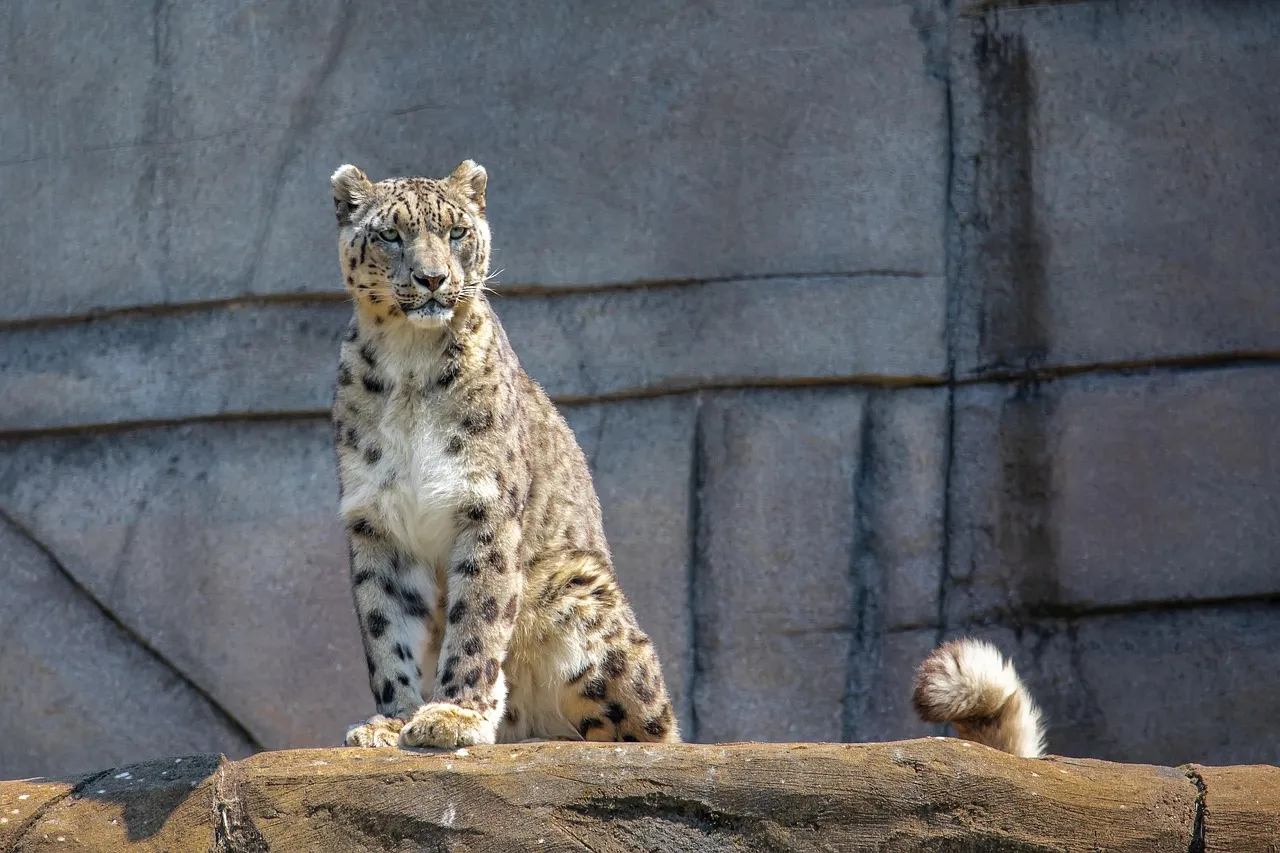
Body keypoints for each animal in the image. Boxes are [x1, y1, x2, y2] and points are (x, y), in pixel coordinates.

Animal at [329, 160, 677, 748]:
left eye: (455, 232)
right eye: (390, 235)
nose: (432, 279)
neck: (409, 361)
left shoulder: (485, 504)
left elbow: (479, 614)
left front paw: (456, 715)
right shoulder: (375, 518)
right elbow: (385, 626)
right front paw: (391, 721)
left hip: (578, 591)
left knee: (653, 727)